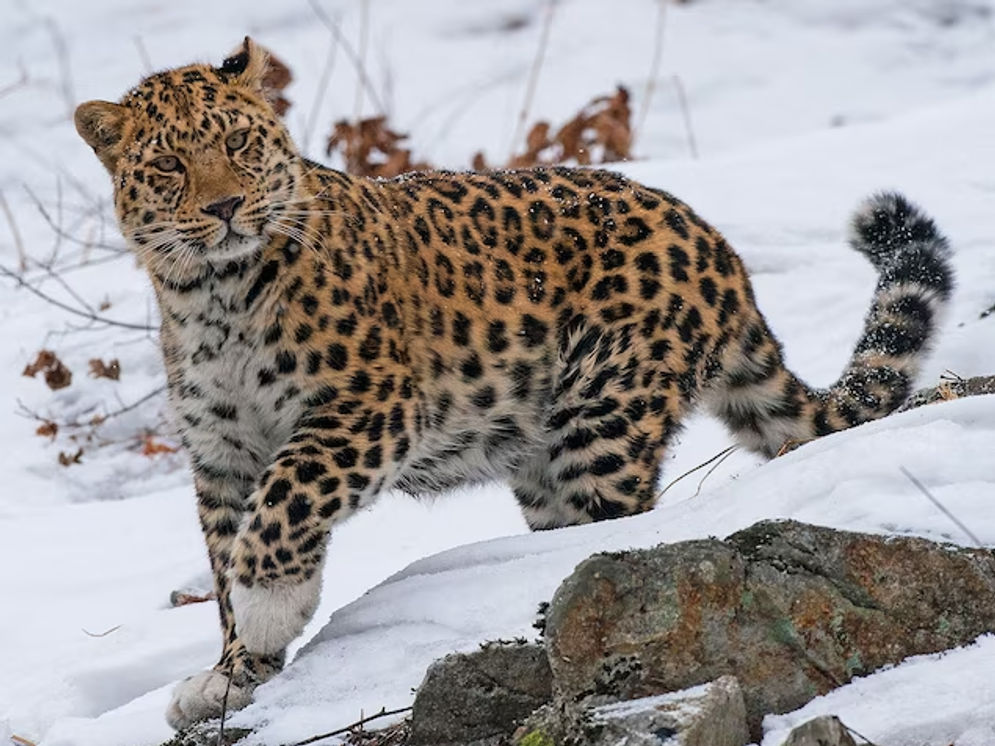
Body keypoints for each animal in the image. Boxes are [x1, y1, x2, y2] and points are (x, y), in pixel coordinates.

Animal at [74, 39, 952, 728]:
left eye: (239, 144)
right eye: (168, 163)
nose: (226, 207)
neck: (210, 294)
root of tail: (718, 250)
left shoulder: (367, 405)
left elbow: (285, 503)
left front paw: (266, 612)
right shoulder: (221, 454)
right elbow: (227, 551)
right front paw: (232, 676)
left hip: (600, 420)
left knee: (618, 527)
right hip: (540, 462)